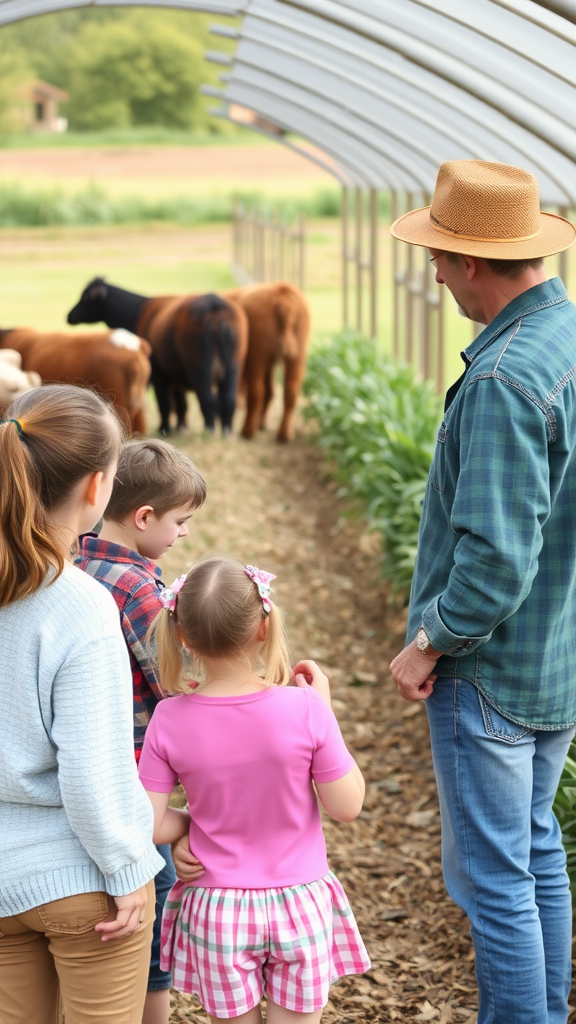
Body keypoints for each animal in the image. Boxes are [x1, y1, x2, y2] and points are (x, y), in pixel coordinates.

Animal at [223, 282, 307, 442]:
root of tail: (282, 292)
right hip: (298, 356)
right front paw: (262, 423)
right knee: (290, 392)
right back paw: (284, 435)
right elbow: (270, 391)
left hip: (256, 356)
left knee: (256, 392)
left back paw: (247, 431)